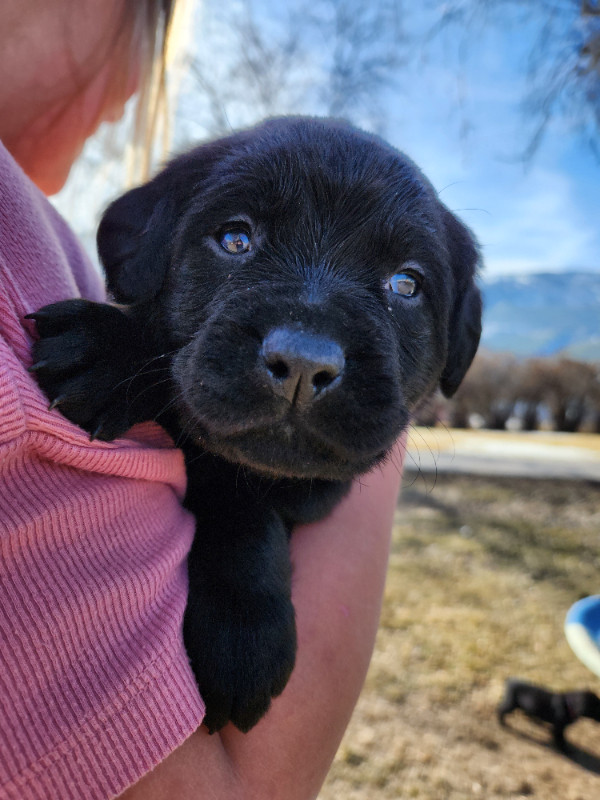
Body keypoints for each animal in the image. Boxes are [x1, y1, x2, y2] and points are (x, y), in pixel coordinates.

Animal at [28, 115, 482, 736]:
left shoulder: (318, 487)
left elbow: (241, 498)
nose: (304, 363)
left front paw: (243, 635)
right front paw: (108, 348)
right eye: (235, 240)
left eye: (406, 285)